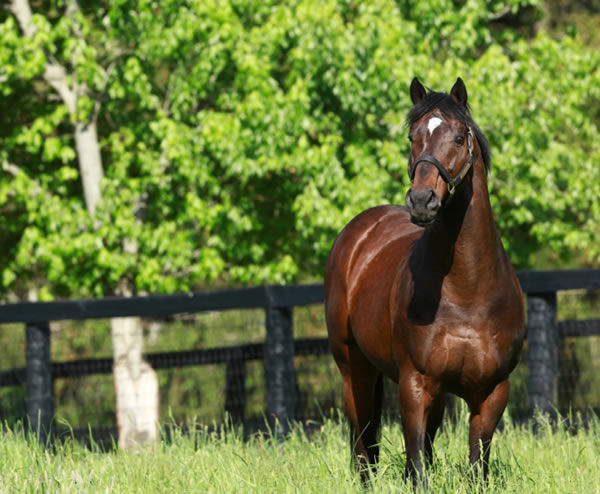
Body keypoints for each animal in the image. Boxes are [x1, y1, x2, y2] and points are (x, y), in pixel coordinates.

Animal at [324, 77, 524, 482]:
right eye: (412, 137)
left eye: (459, 138)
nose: (421, 201)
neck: (468, 292)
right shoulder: (414, 385)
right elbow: (416, 467)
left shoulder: (492, 393)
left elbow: (476, 466)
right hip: (354, 369)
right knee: (363, 447)